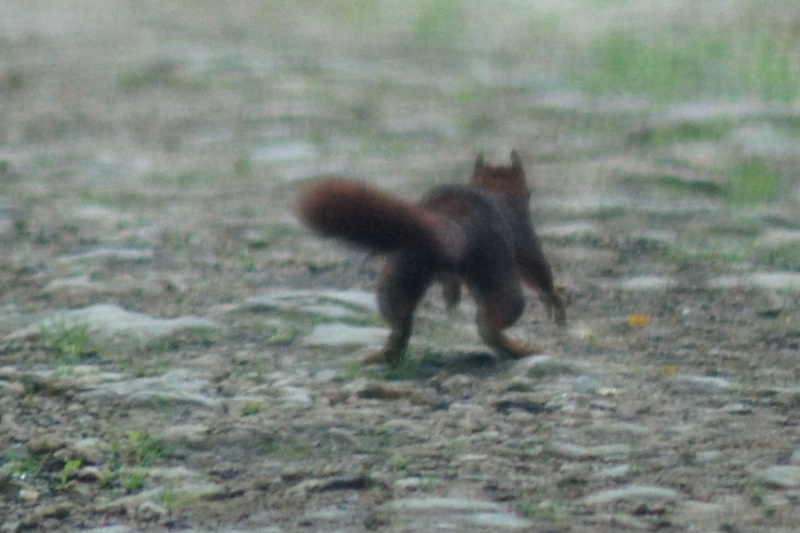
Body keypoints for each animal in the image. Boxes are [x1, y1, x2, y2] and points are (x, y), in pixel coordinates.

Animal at [296, 152, 564, 364]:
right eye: (529, 192)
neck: (497, 191)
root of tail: (450, 220)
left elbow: (450, 280)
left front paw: (451, 297)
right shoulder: (526, 238)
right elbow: (540, 274)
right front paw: (555, 305)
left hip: (404, 266)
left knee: (399, 320)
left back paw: (384, 355)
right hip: (495, 269)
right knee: (494, 320)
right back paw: (518, 349)